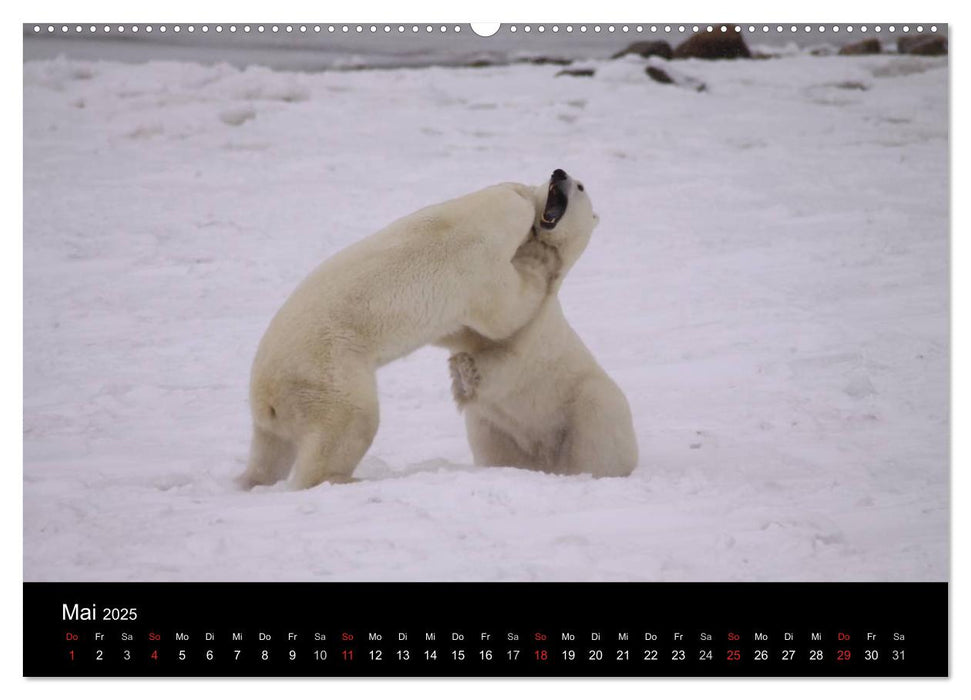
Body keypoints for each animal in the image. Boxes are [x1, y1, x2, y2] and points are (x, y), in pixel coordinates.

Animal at [239, 170, 596, 490]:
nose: (559, 172)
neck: (460, 218)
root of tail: (267, 394)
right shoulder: (477, 268)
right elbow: (505, 313)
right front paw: (539, 264)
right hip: (326, 372)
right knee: (351, 421)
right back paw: (342, 478)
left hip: (277, 409)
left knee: (271, 449)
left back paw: (250, 480)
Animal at [448, 169, 636, 478]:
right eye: (556, 176)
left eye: (580, 186)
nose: (558, 173)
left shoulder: (536, 332)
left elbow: (509, 363)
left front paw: (464, 372)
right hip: (497, 429)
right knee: (493, 445)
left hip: (588, 404)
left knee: (595, 438)